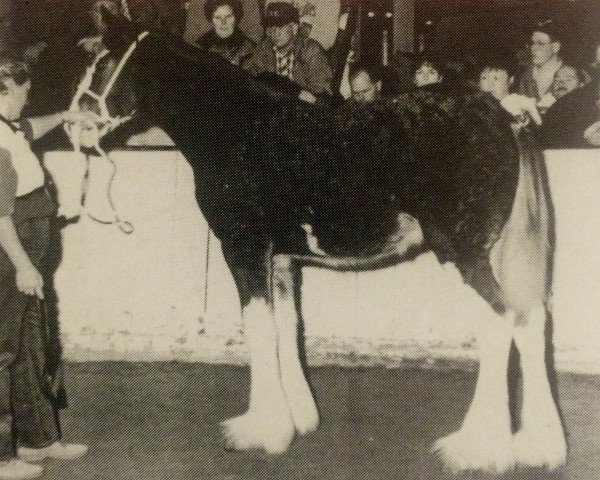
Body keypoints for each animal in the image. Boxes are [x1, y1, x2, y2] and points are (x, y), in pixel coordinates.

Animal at [77, 12, 568, 476]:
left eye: (101, 62)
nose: (75, 122)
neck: (237, 127)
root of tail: (502, 113)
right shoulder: (280, 260)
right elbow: (285, 325)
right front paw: (298, 418)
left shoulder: (244, 248)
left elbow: (258, 328)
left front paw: (262, 431)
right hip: (496, 252)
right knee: (531, 321)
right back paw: (539, 447)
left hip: (461, 252)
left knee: (499, 322)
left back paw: (476, 449)